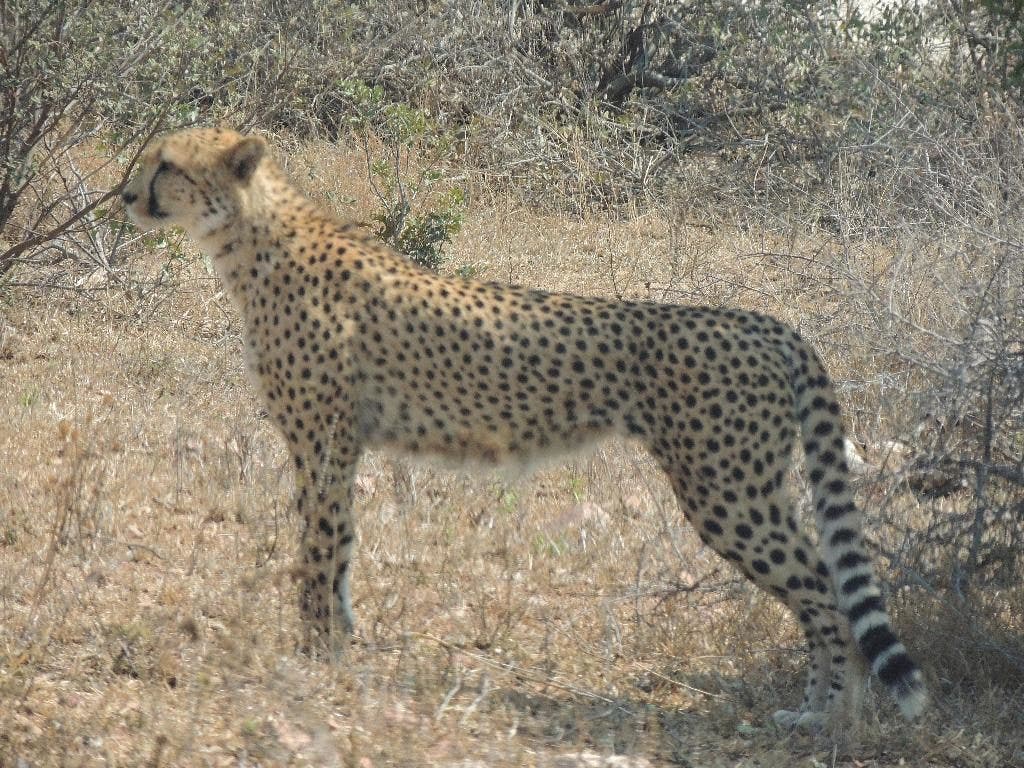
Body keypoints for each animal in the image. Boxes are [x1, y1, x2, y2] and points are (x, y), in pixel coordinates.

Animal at [121, 127, 927, 731]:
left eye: (168, 165)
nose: (127, 195)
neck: (250, 237)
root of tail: (766, 323)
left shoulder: (321, 444)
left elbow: (318, 552)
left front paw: (312, 655)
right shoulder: (341, 448)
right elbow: (342, 546)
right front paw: (342, 648)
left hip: (727, 491)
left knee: (823, 588)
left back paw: (825, 712)